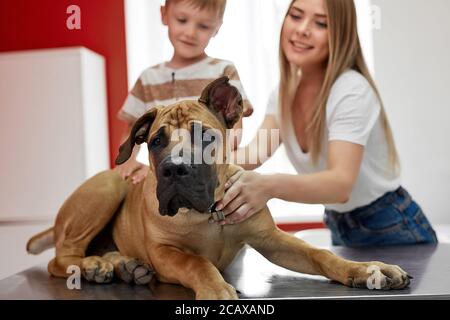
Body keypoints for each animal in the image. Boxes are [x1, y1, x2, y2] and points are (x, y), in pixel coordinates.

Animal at [25, 76, 412, 298]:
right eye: (155, 142)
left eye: (205, 136)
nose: (174, 169)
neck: (208, 214)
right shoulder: (165, 252)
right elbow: (196, 263)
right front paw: (215, 289)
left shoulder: (271, 239)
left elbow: (321, 255)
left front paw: (367, 270)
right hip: (107, 187)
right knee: (61, 258)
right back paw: (93, 266)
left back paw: (123, 266)